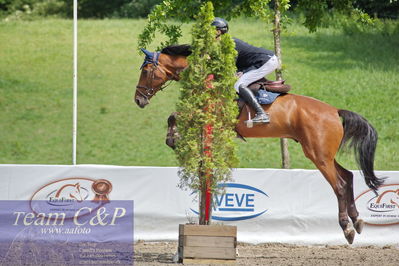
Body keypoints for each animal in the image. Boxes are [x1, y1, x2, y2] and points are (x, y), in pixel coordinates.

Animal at [134, 45, 384, 243]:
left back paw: (347, 228)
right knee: (348, 177)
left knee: (339, 186)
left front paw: (172, 139)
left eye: (146, 71)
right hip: (323, 155)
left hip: (318, 155)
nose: (138, 100)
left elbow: (175, 116)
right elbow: (174, 116)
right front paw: (173, 138)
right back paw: (357, 220)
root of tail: (334, 111)